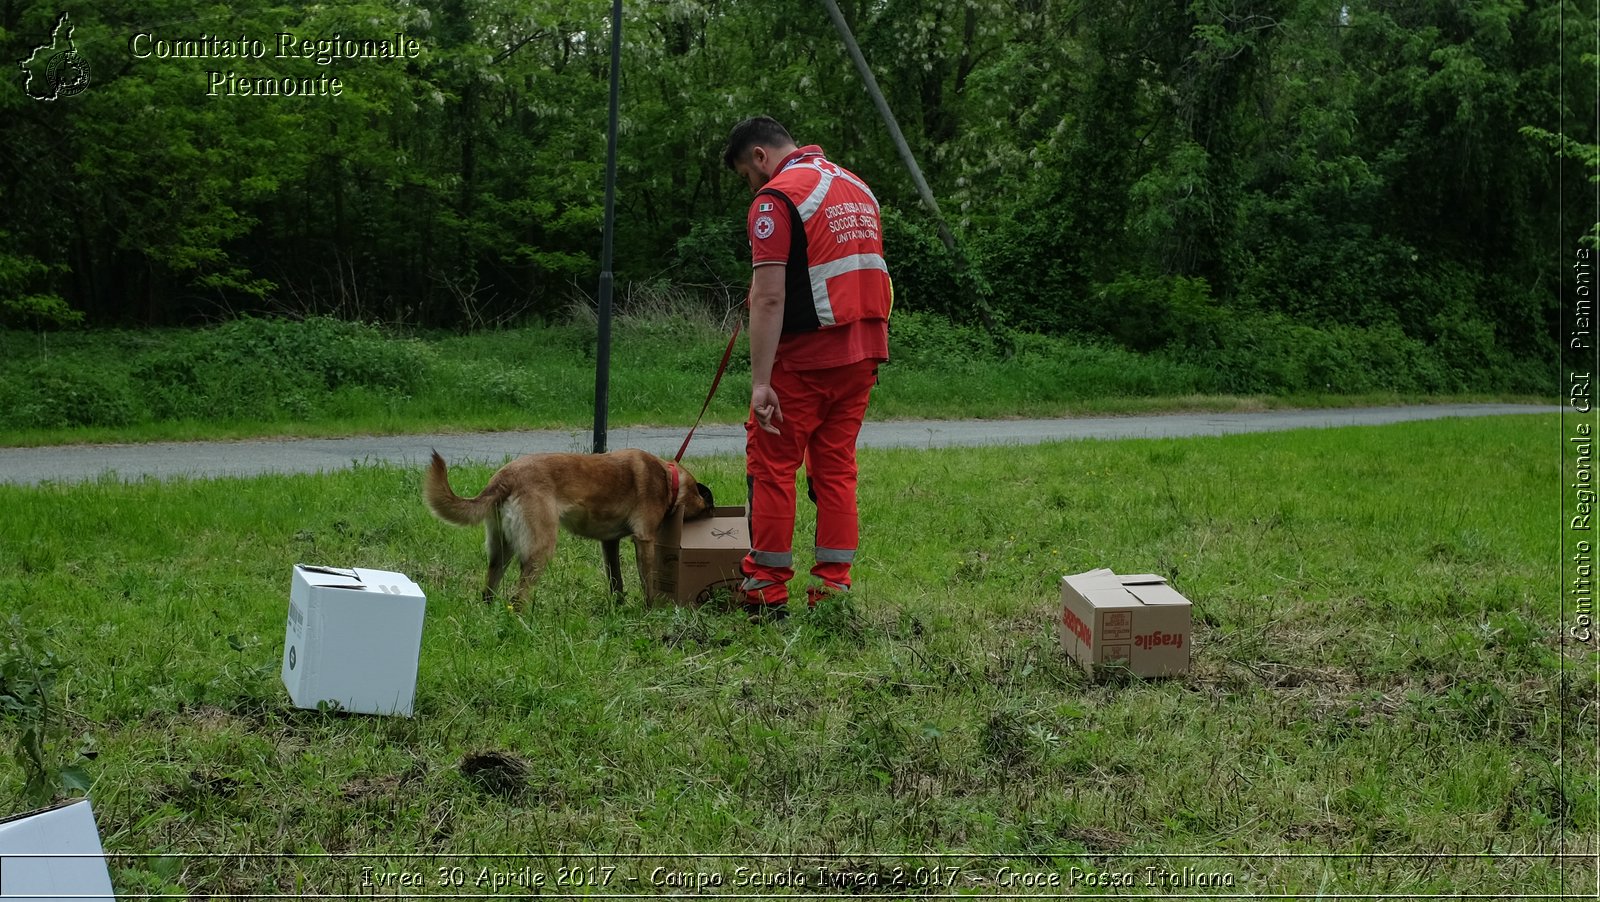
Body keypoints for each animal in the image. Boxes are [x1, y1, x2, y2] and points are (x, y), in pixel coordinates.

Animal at [425, 447, 713, 604]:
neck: (669, 479)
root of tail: (505, 476)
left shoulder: (609, 543)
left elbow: (616, 580)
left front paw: (618, 606)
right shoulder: (644, 540)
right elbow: (648, 584)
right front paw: (650, 609)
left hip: (501, 549)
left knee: (488, 591)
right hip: (540, 548)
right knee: (519, 597)